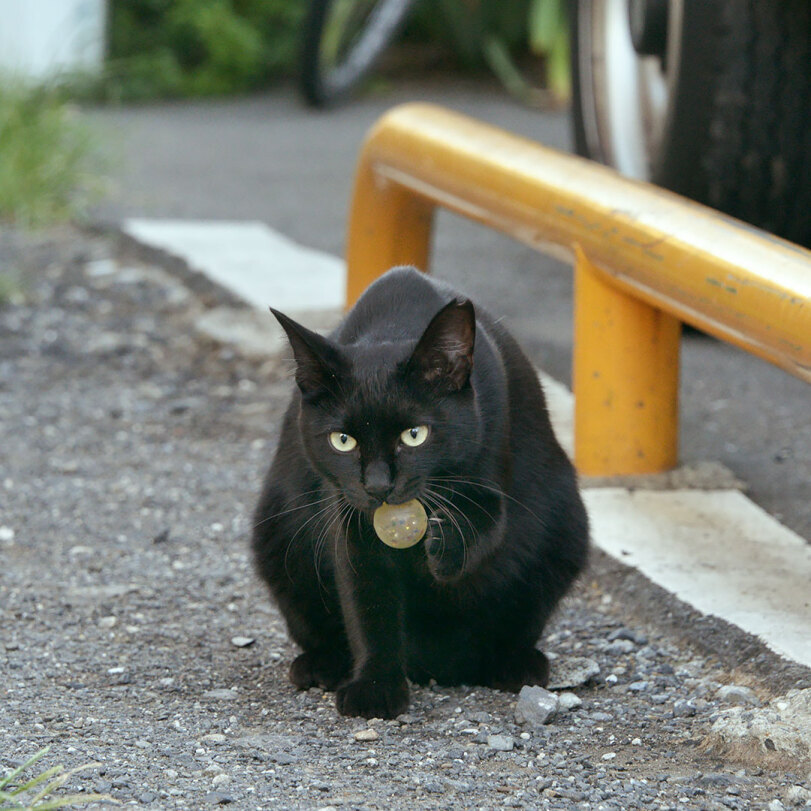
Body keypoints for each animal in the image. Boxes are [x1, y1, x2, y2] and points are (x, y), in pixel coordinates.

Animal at [254, 266, 588, 716]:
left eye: (415, 435)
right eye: (343, 441)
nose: (378, 485)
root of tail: (438, 667)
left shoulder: (489, 448)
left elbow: (489, 516)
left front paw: (446, 548)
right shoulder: (350, 521)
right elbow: (369, 606)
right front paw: (375, 687)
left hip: (564, 529)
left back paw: (514, 663)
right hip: (276, 538)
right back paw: (323, 664)